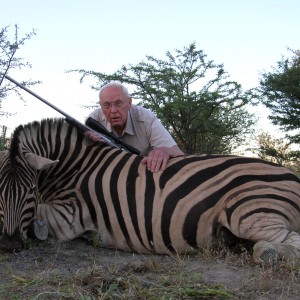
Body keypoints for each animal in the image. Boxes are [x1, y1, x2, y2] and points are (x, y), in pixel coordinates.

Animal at [0, 118, 298, 264]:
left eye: (30, 191)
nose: (9, 244)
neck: (75, 167)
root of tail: (293, 175)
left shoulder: (68, 218)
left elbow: (40, 215)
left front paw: (37, 229)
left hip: (248, 213)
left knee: (286, 242)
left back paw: (268, 254)